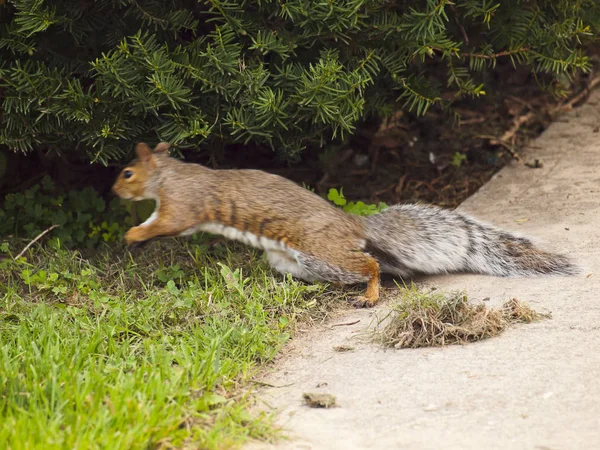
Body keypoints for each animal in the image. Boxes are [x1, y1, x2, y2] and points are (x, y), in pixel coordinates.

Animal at [110, 142, 580, 308]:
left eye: (128, 173)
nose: (113, 191)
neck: (168, 175)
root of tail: (353, 224)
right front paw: (134, 233)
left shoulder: (183, 205)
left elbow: (166, 222)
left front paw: (132, 234)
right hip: (296, 261)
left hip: (322, 251)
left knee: (368, 265)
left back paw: (369, 295)